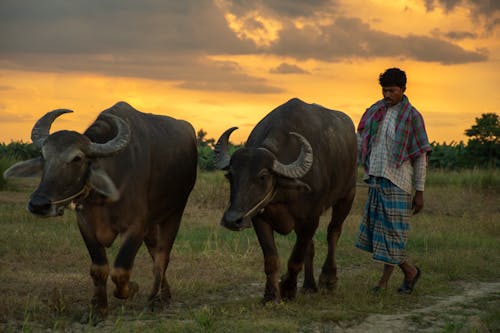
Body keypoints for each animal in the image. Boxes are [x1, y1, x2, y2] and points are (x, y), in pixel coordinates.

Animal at [5, 102, 199, 320]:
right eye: (43, 156)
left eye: (77, 158)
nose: (38, 204)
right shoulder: (86, 225)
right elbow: (99, 268)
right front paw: (98, 308)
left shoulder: (136, 227)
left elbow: (121, 270)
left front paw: (131, 288)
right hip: (152, 224)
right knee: (153, 250)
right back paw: (165, 295)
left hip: (174, 213)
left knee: (162, 256)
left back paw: (154, 300)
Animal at [217, 98, 358, 300]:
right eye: (230, 175)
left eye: (263, 176)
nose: (231, 220)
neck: (281, 196)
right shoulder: (258, 217)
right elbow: (271, 259)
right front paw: (270, 295)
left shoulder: (310, 219)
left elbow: (296, 258)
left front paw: (288, 288)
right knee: (311, 246)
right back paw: (309, 285)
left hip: (347, 195)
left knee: (333, 232)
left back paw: (328, 279)